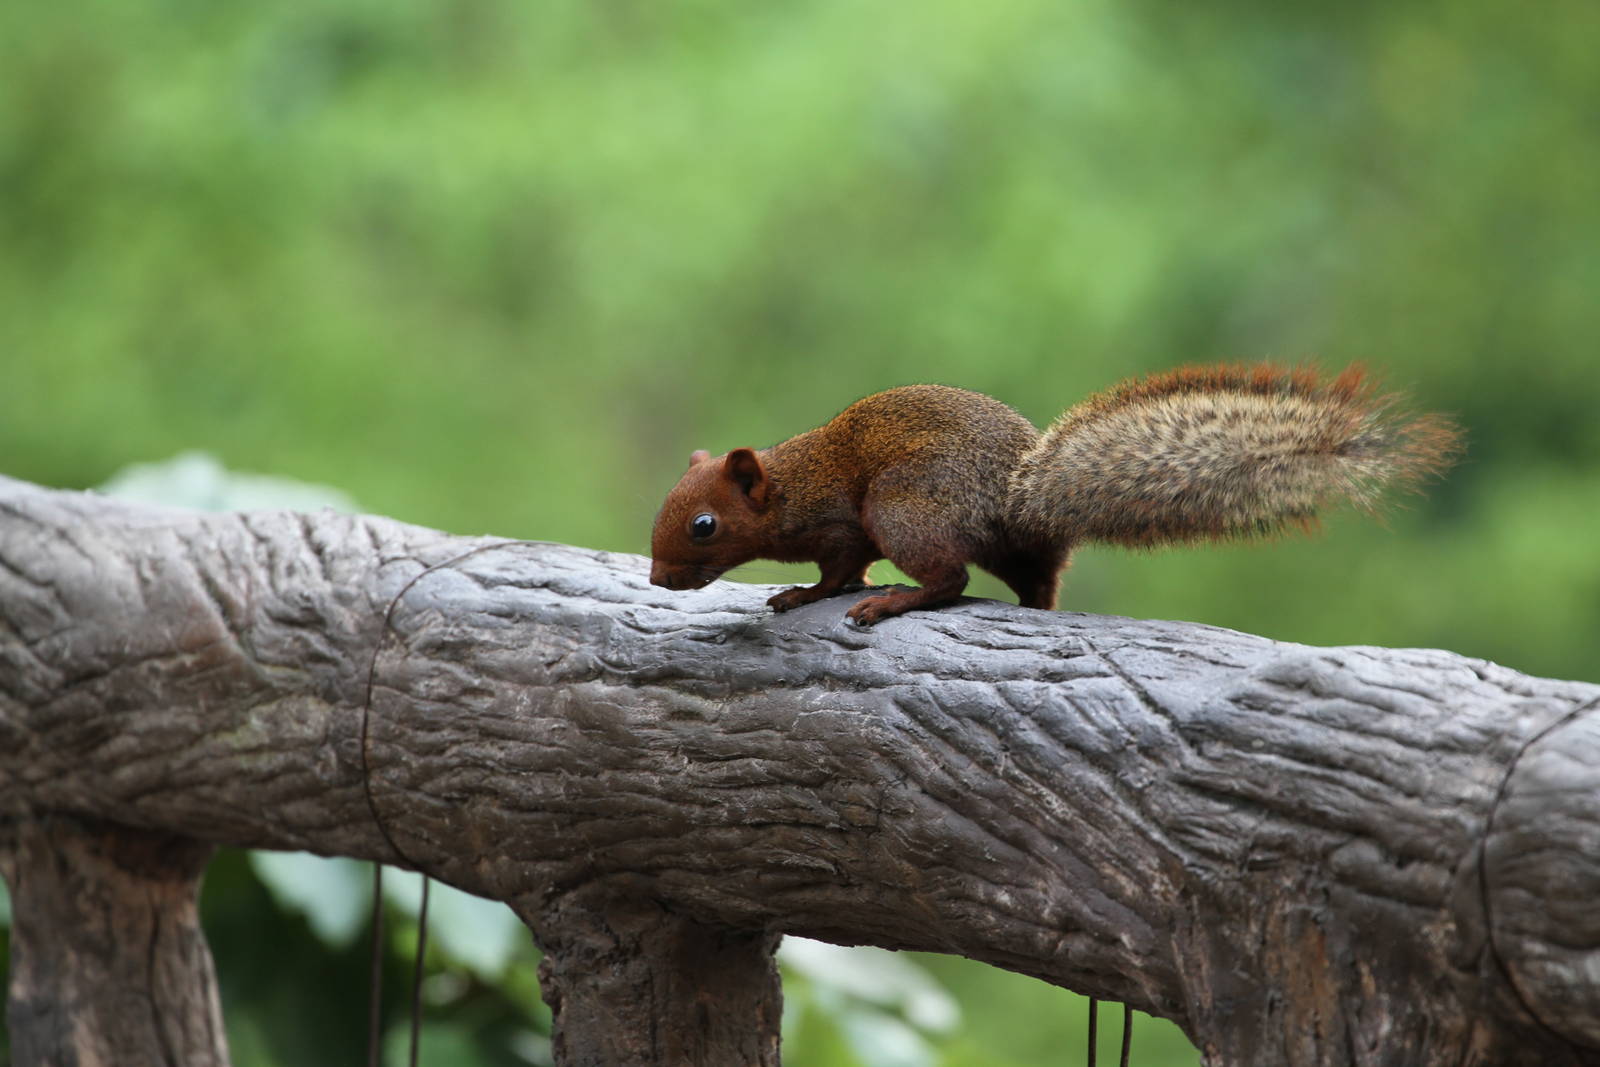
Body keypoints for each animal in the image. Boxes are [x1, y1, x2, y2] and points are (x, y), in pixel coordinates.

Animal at [649, 364, 1461, 626]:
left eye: (703, 524)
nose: (658, 579)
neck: (788, 484)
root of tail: (1019, 497)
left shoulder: (842, 525)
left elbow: (839, 568)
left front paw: (802, 595)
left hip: (904, 507)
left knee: (949, 579)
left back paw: (893, 603)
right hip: (1014, 551)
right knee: (1035, 585)